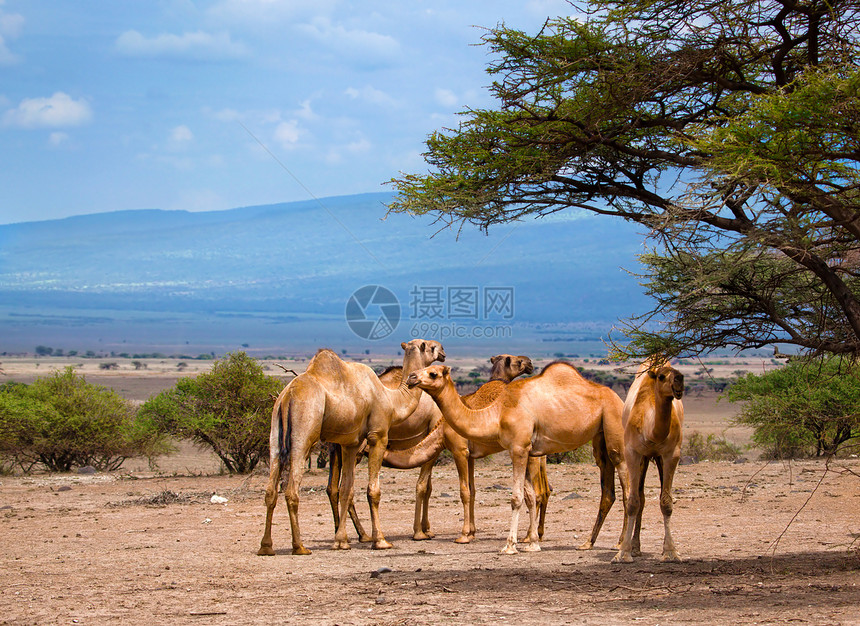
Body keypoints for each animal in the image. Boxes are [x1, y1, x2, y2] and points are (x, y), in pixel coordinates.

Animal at [255, 338, 444, 552]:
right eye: (431, 347)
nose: (443, 352)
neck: (391, 398)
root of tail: (288, 397)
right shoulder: (378, 436)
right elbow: (375, 490)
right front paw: (384, 540)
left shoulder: (350, 444)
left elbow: (346, 489)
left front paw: (341, 540)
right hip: (304, 432)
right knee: (292, 490)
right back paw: (300, 547)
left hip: (275, 435)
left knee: (272, 489)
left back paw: (266, 546)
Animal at [326, 356, 540, 540]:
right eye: (518, 362)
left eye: (433, 373)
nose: (530, 363)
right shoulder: (463, 453)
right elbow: (464, 490)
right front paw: (465, 532)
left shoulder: (460, 451)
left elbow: (455, 490)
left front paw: (457, 534)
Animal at [406, 358, 628, 552]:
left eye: (433, 373)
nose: (411, 377)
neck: (497, 413)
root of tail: (618, 399)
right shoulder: (525, 449)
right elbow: (528, 496)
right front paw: (532, 543)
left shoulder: (518, 448)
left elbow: (516, 497)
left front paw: (509, 545)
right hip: (600, 440)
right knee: (607, 491)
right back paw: (588, 543)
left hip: (615, 430)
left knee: (627, 487)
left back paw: (621, 545)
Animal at [612, 360, 684, 560]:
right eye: (662, 376)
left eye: (678, 372)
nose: (679, 380)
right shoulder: (633, 453)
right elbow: (633, 502)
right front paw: (624, 552)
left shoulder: (671, 454)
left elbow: (666, 502)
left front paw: (671, 551)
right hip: (644, 459)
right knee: (641, 497)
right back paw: (636, 547)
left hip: (658, 458)